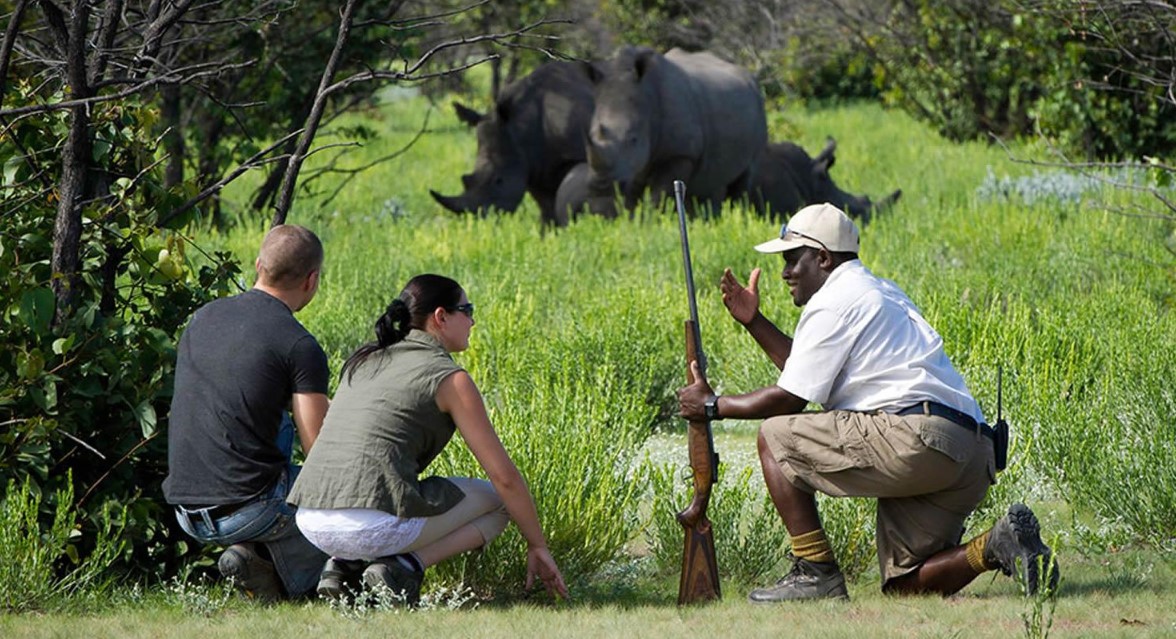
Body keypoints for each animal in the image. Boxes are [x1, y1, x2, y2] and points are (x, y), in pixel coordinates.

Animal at [583, 47, 766, 217]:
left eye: (633, 139)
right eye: (591, 136)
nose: (600, 186)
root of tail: (750, 77)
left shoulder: (680, 155)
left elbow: (659, 197)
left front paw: (652, 221)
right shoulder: (632, 166)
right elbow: (632, 200)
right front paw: (633, 222)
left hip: (758, 108)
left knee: (743, 179)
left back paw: (736, 217)